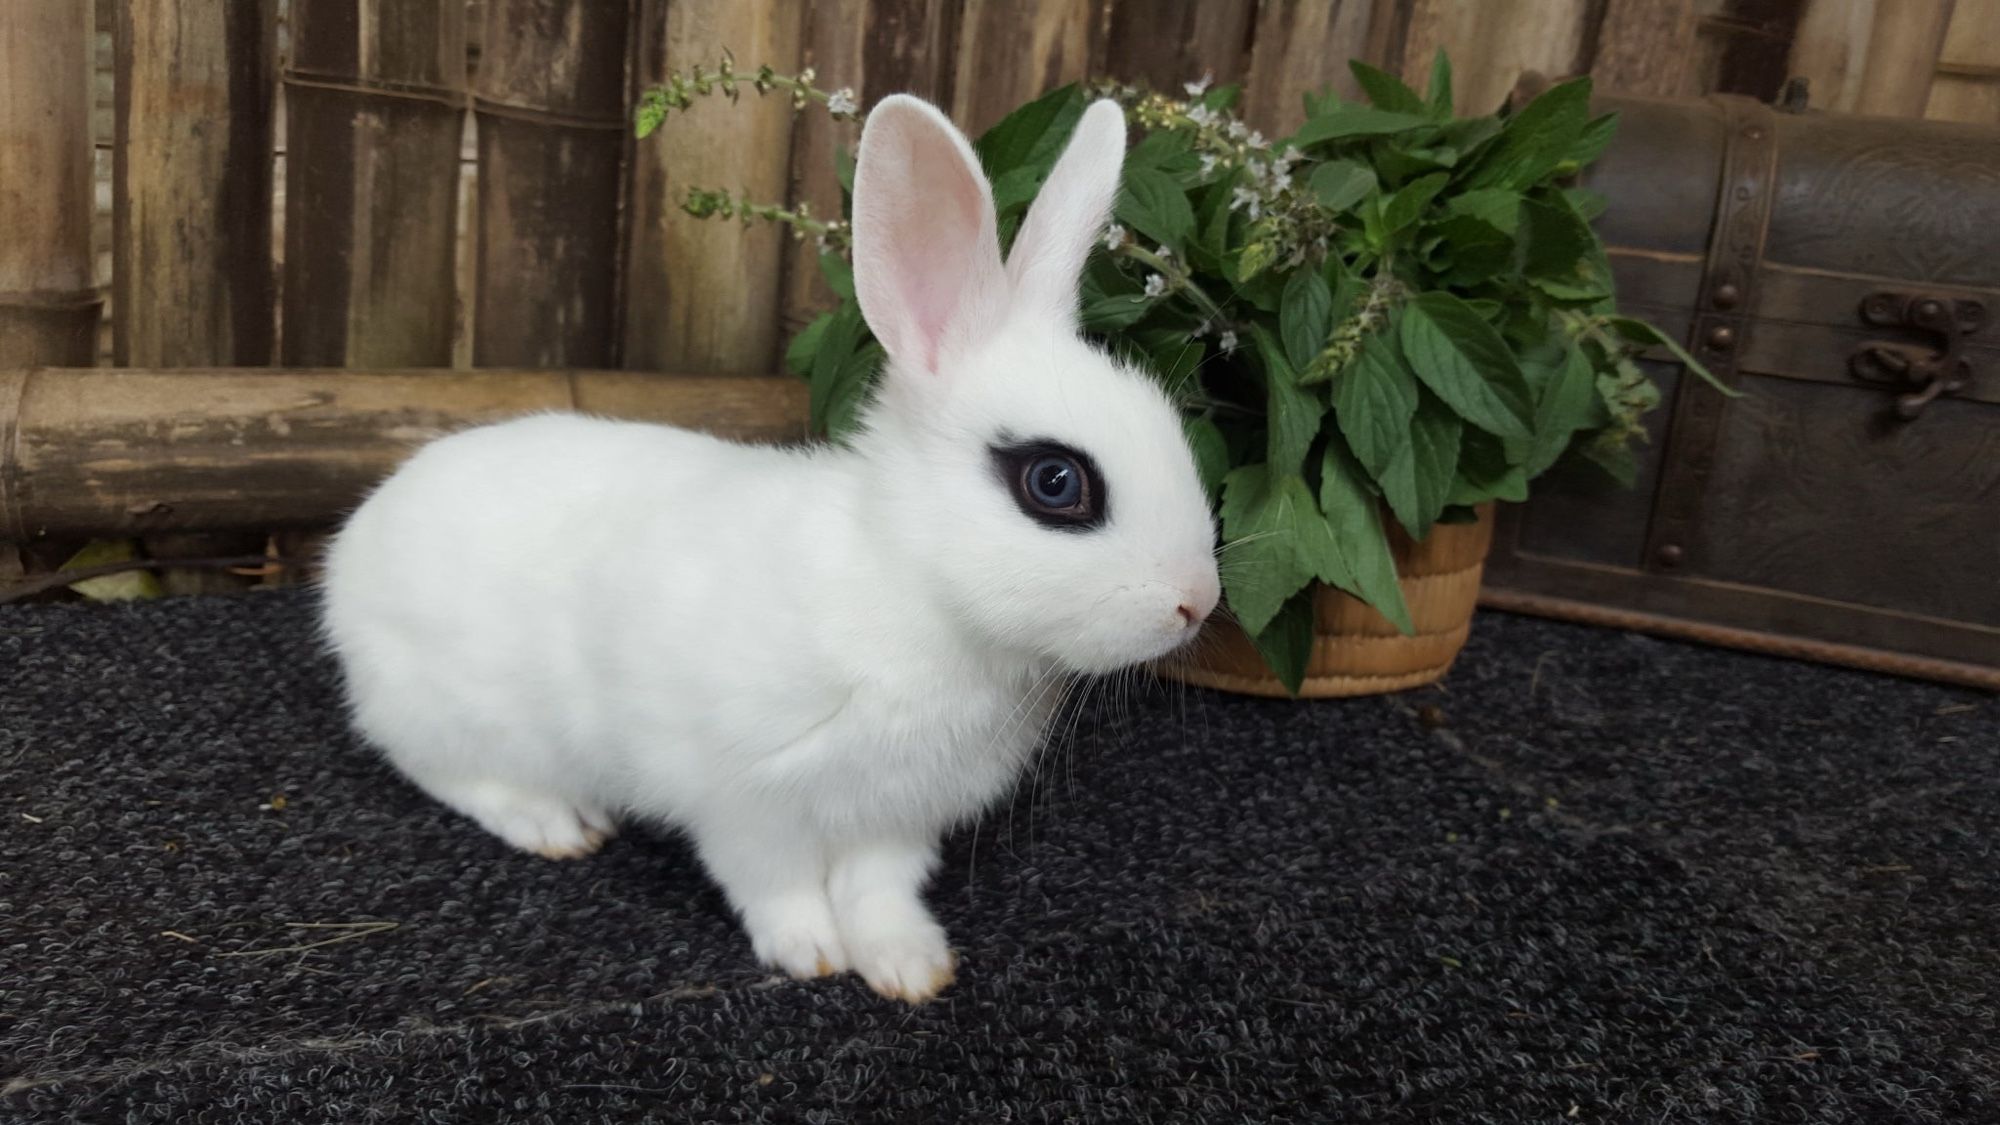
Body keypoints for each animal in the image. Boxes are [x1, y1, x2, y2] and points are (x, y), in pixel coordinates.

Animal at [320, 94, 1216, 996]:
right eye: (1055, 482)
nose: (1197, 603)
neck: (909, 586)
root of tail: (353, 547)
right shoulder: (743, 799)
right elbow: (773, 881)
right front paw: (809, 952)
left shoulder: (897, 818)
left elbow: (880, 890)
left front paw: (909, 965)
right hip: (453, 715)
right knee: (446, 772)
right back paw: (556, 824)